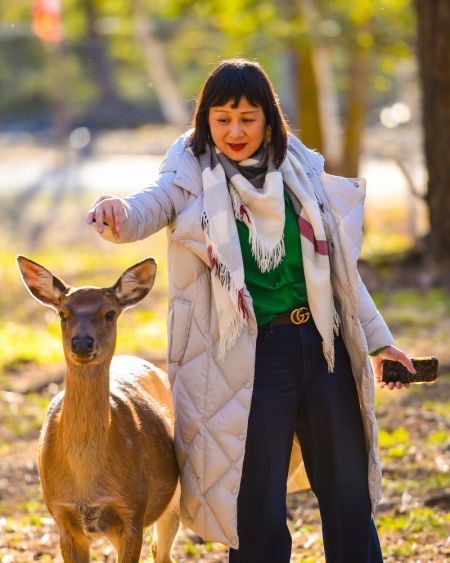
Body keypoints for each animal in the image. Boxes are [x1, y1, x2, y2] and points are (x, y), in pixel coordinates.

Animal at [17, 256, 179, 563]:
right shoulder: (62, 514)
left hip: (174, 498)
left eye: (110, 313)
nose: (82, 342)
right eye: (63, 314)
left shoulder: (133, 509)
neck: (87, 482)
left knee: (162, 552)